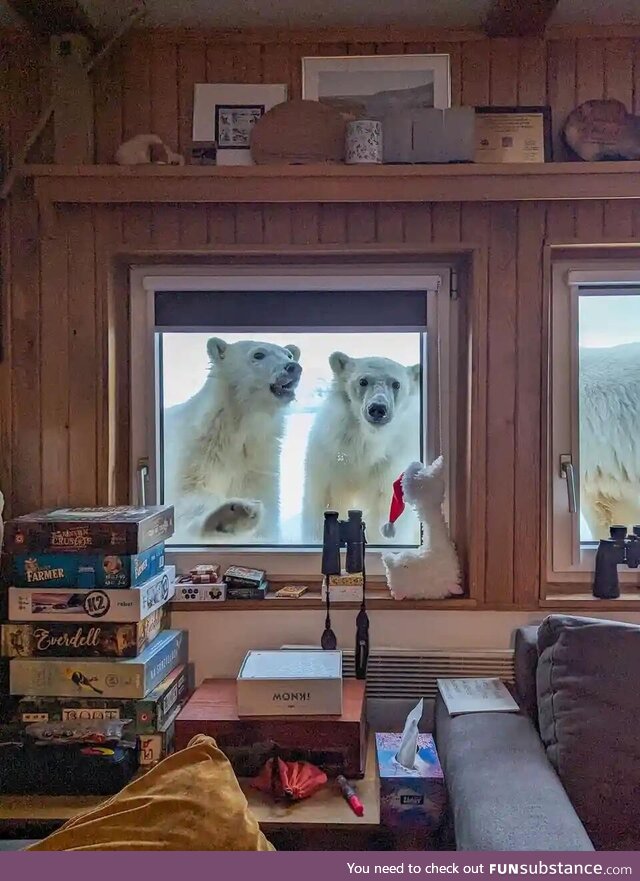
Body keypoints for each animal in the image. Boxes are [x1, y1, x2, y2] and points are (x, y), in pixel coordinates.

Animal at [165, 336, 304, 544]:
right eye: (258, 354)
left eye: (288, 354)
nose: (293, 367)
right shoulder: (196, 451)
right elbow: (189, 495)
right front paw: (231, 515)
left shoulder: (258, 461)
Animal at [304, 352, 422, 544]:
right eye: (363, 381)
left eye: (396, 384)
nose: (378, 408)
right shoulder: (331, 454)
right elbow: (325, 500)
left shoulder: (390, 462)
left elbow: (386, 507)